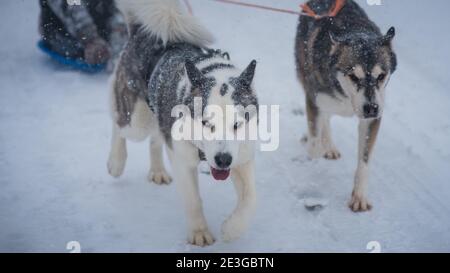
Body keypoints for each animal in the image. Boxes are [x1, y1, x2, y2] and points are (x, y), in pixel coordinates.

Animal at [107, 0, 258, 245]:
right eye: (205, 122)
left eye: (237, 125)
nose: (223, 160)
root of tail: (141, 31)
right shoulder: (182, 160)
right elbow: (193, 200)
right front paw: (199, 232)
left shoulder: (242, 156)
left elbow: (251, 199)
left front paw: (232, 229)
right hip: (137, 120)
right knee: (120, 125)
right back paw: (116, 161)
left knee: (155, 139)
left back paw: (157, 170)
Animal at [296, 0, 398, 211]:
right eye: (353, 76)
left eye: (381, 76)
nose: (371, 108)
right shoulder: (314, 100)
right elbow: (314, 144)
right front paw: (312, 175)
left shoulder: (373, 119)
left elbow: (364, 162)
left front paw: (359, 196)